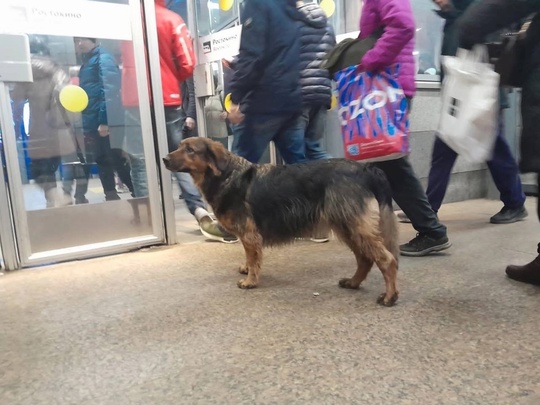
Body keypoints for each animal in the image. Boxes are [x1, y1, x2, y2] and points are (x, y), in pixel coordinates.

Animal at [165, 137, 400, 304]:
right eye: (180, 146)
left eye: (189, 150)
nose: (165, 159)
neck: (226, 175)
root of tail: (367, 169)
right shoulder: (248, 236)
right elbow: (249, 256)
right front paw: (246, 268)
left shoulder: (250, 234)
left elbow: (254, 258)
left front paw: (250, 280)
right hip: (347, 227)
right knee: (365, 259)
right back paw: (353, 282)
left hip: (355, 226)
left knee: (386, 260)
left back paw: (389, 296)